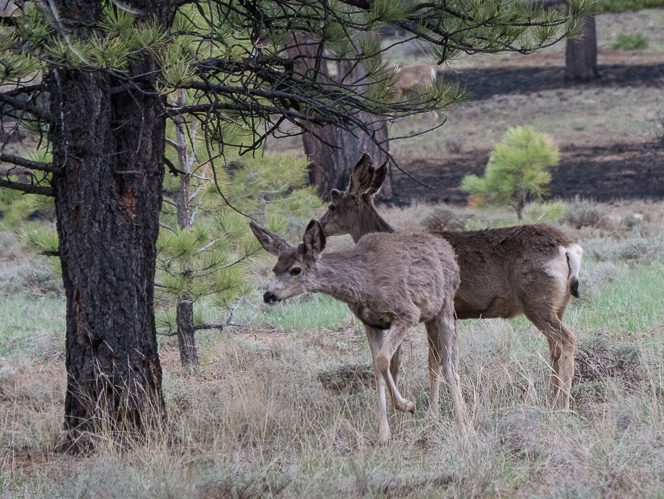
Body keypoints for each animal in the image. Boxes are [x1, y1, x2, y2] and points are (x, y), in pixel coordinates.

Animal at [252, 219, 464, 442]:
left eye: (296, 270)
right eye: (275, 269)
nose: (269, 295)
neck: (363, 282)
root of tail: (448, 250)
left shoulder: (407, 313)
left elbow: (382, 360)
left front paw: (407, 405)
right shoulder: (370, 323)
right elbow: (377, 369)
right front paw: (384, 433)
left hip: (445, 307)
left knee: (449, 365)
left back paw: (462, 422)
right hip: (430, 316)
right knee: (433, 362)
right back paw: (437, 416)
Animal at [320, 155, 584, 410]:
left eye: (332, 206)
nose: (320, 227)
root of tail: (569, 248)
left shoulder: (430, 311)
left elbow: (433, 362)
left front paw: (432, 411)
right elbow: (431, 361)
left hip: (538, 302)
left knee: (566, 340)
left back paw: (563, 404)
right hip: (558, 304)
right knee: (555, 348)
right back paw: (551, 401)